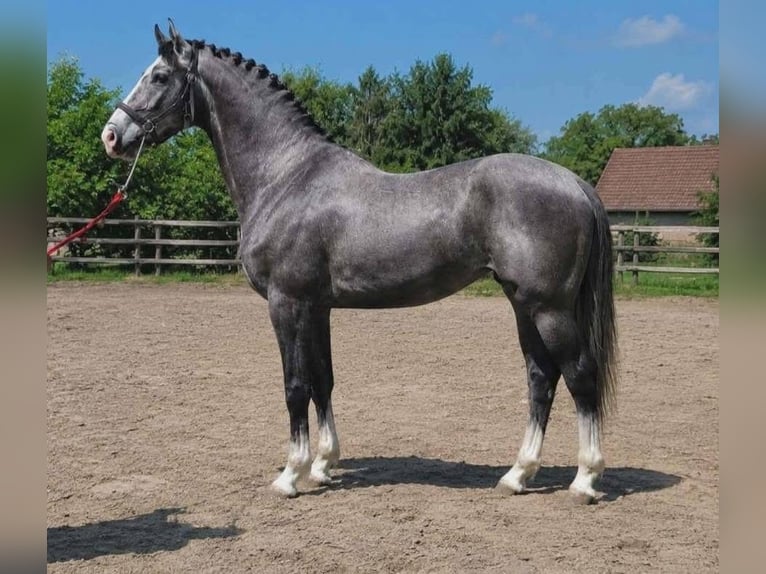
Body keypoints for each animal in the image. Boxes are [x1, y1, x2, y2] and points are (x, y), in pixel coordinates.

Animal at [101, 21, 618, 503]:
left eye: (159, 75)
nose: (111, 135)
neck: (285, 175)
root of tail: (575, 183)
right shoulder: (317, 308)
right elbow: (322, 380)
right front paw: (323, 465)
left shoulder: (286, 304)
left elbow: (294, 386)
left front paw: (290, 475)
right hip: (523, 305)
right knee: (541, 378)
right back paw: (518, 475)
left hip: (548, 308)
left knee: (580, 376)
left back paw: (585, 480)